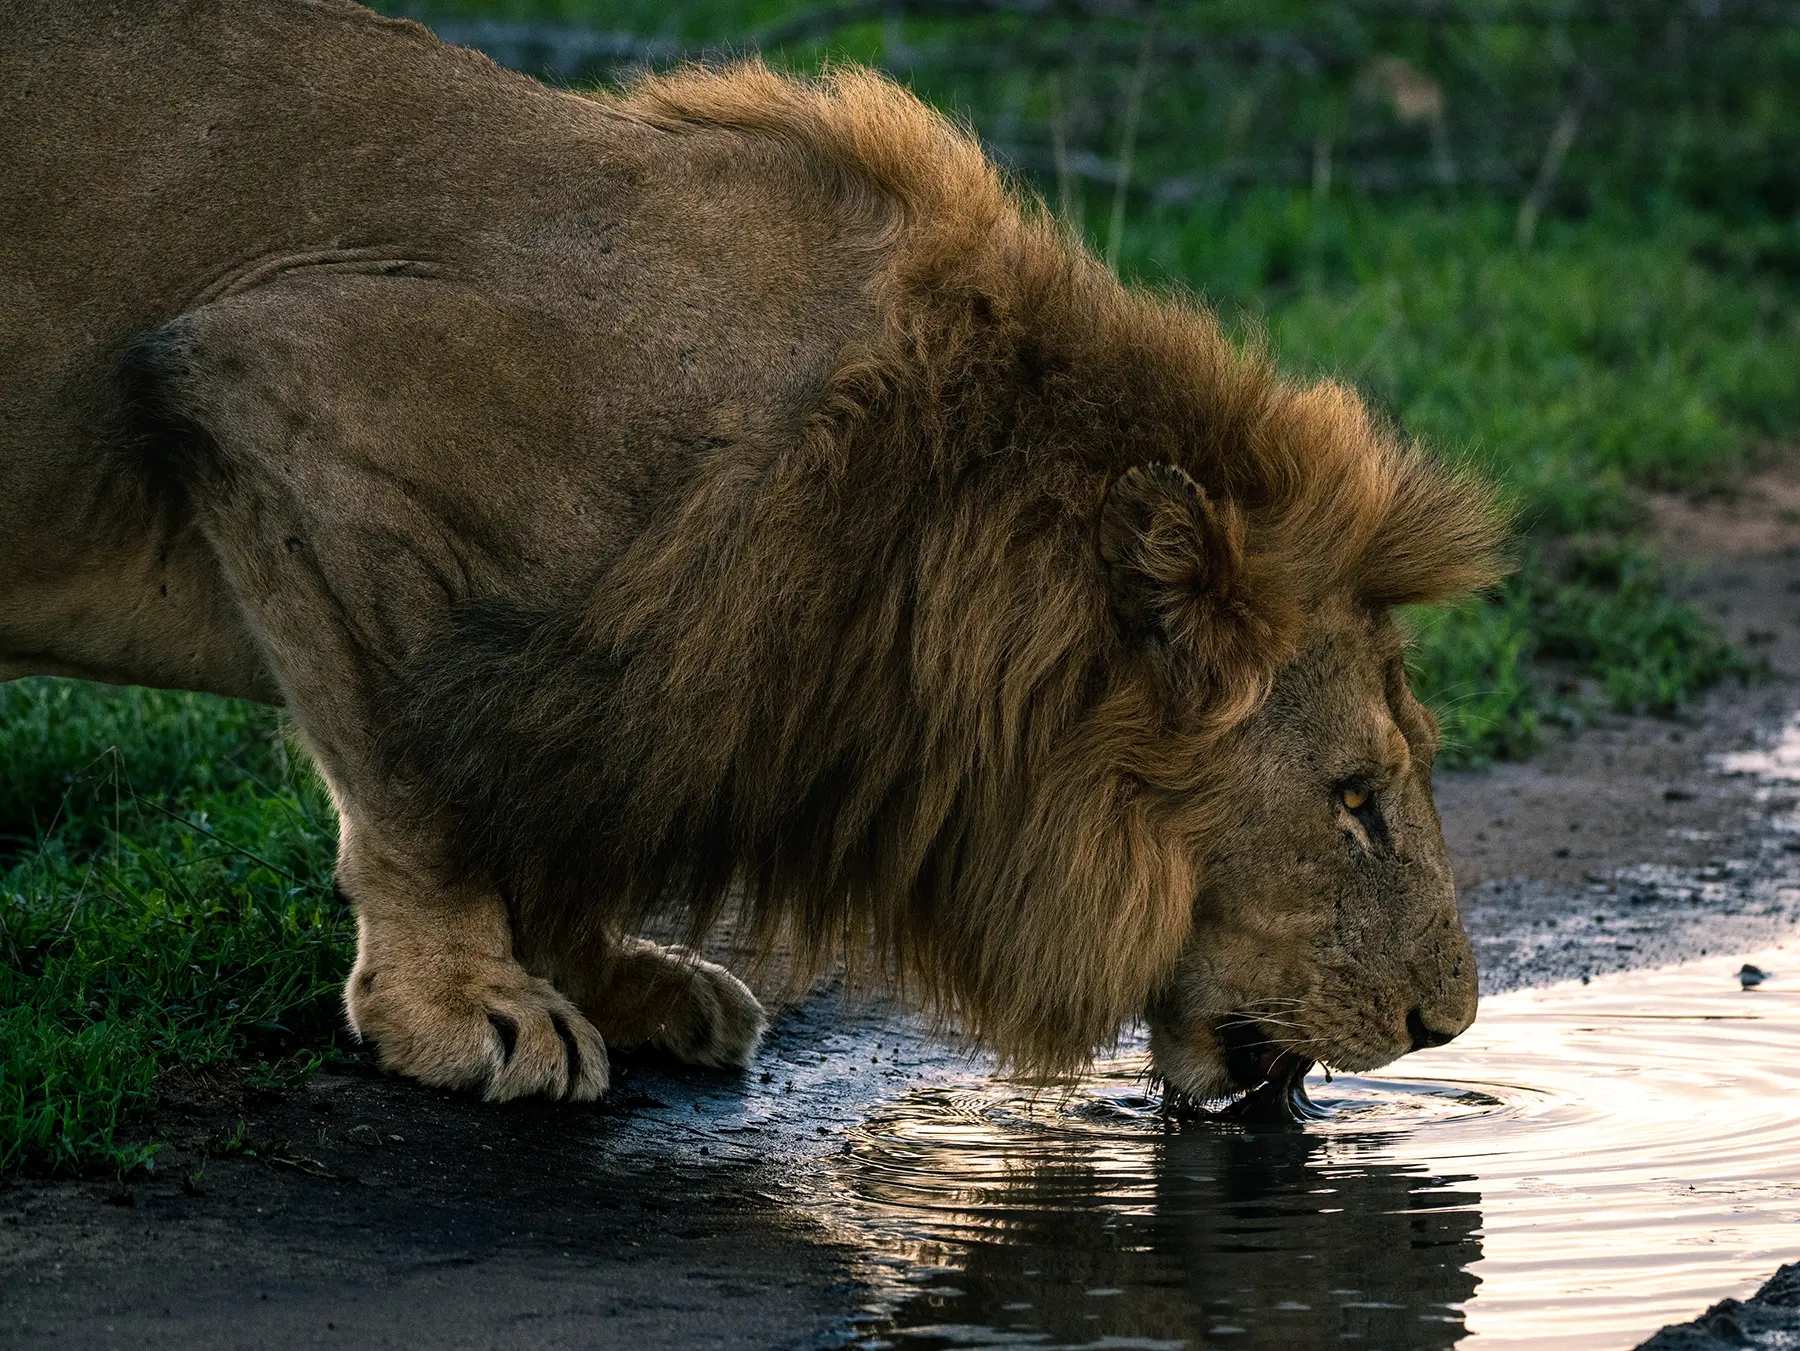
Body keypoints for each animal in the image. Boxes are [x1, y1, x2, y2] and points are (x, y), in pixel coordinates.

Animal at [2, 0, 1506, 1110]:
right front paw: (465, 1006)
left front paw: (617, 977)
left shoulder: (638, 676)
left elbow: (547, 822)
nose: (1447, 1022)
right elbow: (422, 784)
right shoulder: (280, 392)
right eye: (1355, 797)